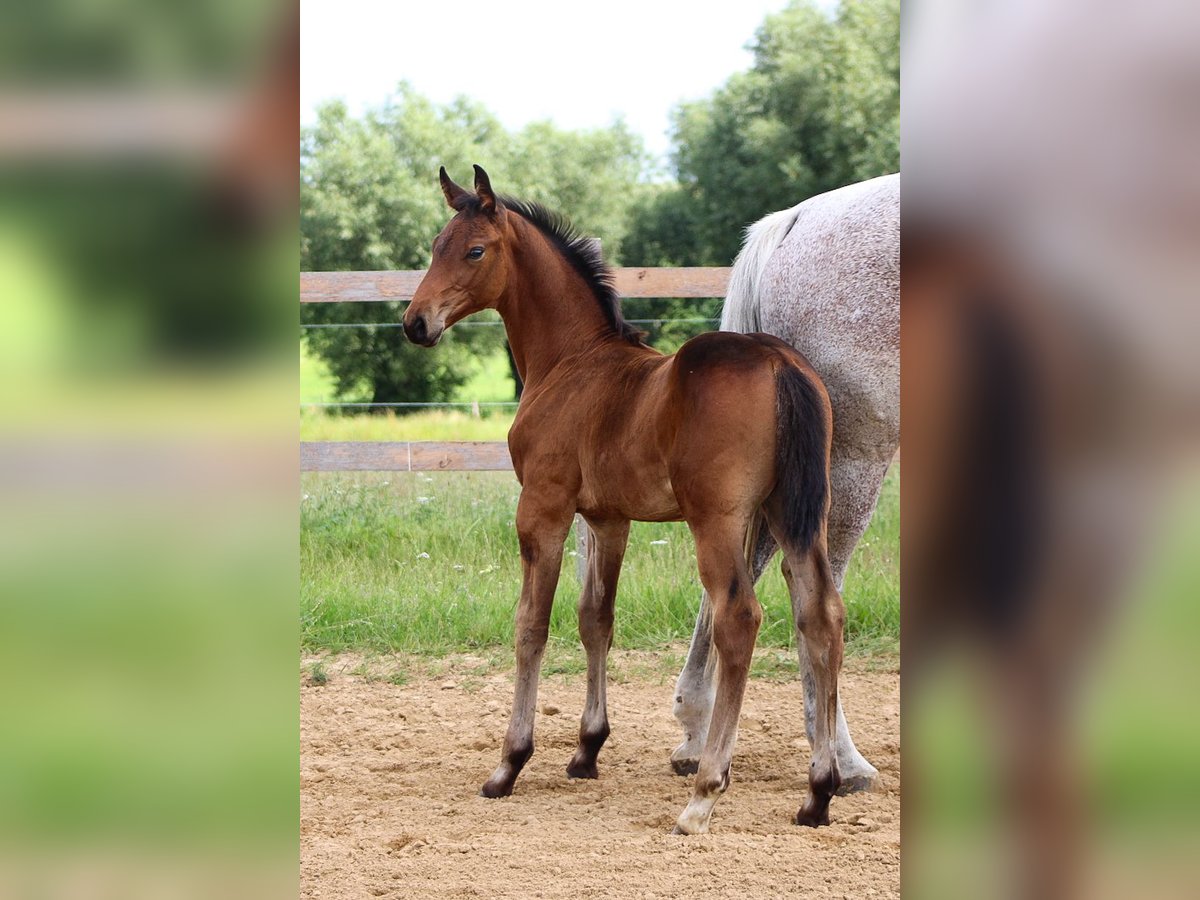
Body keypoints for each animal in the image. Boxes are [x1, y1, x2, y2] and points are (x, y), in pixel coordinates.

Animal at [403, 165, 844, 835]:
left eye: (475, 251)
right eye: (435, 246)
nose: (415, 322)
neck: (571, 361)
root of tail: (779, 363)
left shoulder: (544, 509)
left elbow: (531, 624)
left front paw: (509, 763)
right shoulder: (609, 520)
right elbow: (596, 619)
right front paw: (587, 750)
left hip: (718, 521)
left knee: (739, 619)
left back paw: (704, 793)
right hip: (797, 516)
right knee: (821, 615)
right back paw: (817, 793)